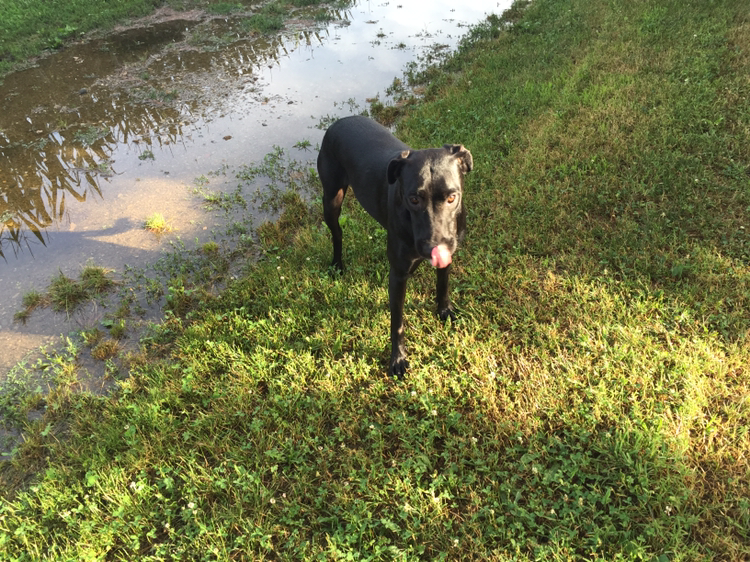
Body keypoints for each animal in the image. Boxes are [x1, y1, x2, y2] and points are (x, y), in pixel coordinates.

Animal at [317, 115, 473, 377]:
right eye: (414, 199)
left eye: (452, 198)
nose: (434, 247)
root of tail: (339, 121)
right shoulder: (398, 275)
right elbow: (397, 323)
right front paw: (398, 359)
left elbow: (443, 284)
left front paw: (444, 311)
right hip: (331, 199)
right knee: (337, 233)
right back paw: (337, 264)